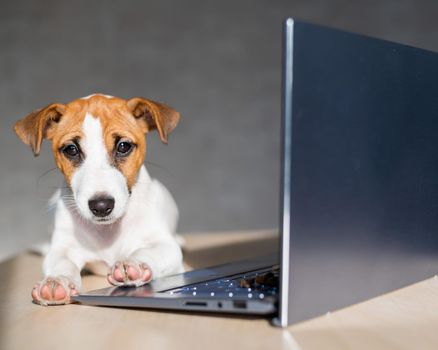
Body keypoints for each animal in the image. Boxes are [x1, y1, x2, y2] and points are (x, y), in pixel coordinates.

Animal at [14, 94, 183, 304]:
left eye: (123, 146)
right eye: (71, 149)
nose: (101, 206)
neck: (107, 232)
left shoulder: (167, 247)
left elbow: (148, 251)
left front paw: (133, 264)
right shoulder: (62, 249)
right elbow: (62, 264)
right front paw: (57, 280)